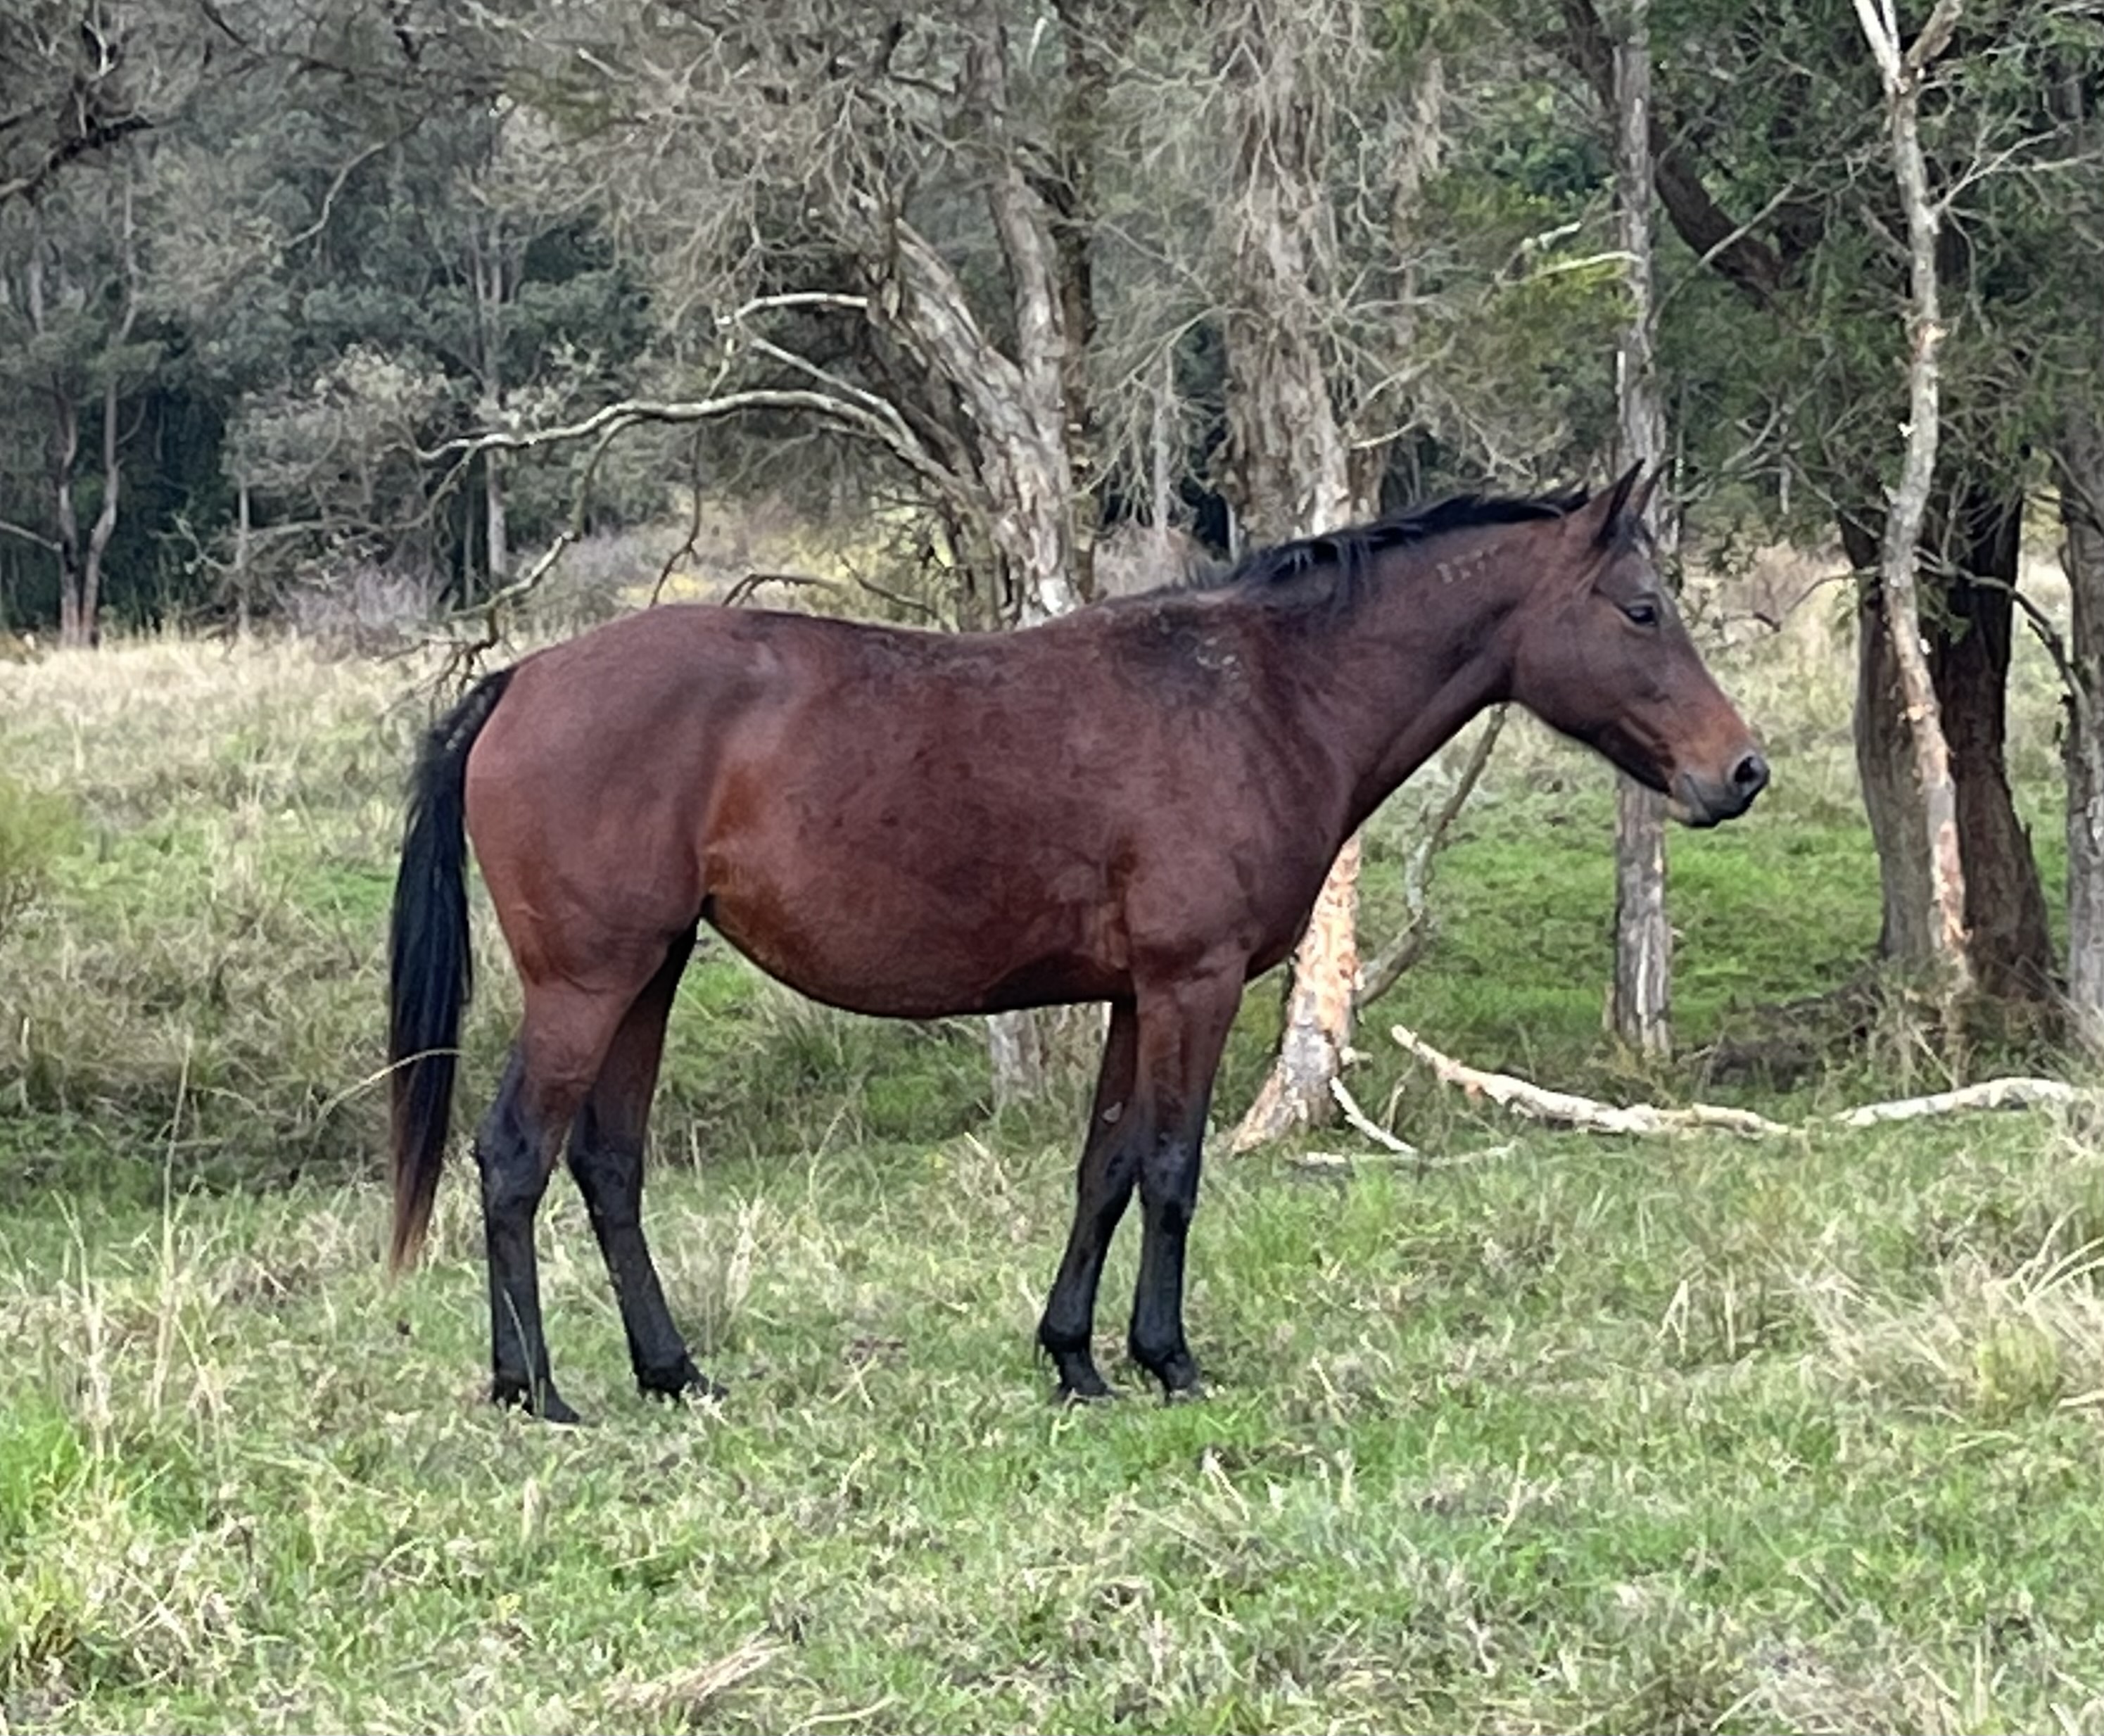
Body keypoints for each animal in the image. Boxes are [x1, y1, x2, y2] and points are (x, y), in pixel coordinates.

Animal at [386, 466, 1767, 1422]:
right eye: (1643, 608)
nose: (1742, 770)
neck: (1263, 694)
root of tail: (524, 679)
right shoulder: (1193, 985)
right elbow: (1172, 1169)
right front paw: (1169, 1358)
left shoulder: (1131, 997)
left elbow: (1102, 1169)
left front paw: (1074, 1358)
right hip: (589, 982)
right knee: (514, 1158)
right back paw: (536, 1389)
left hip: (651, 975)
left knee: (608, 1166)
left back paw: (672, 1371)